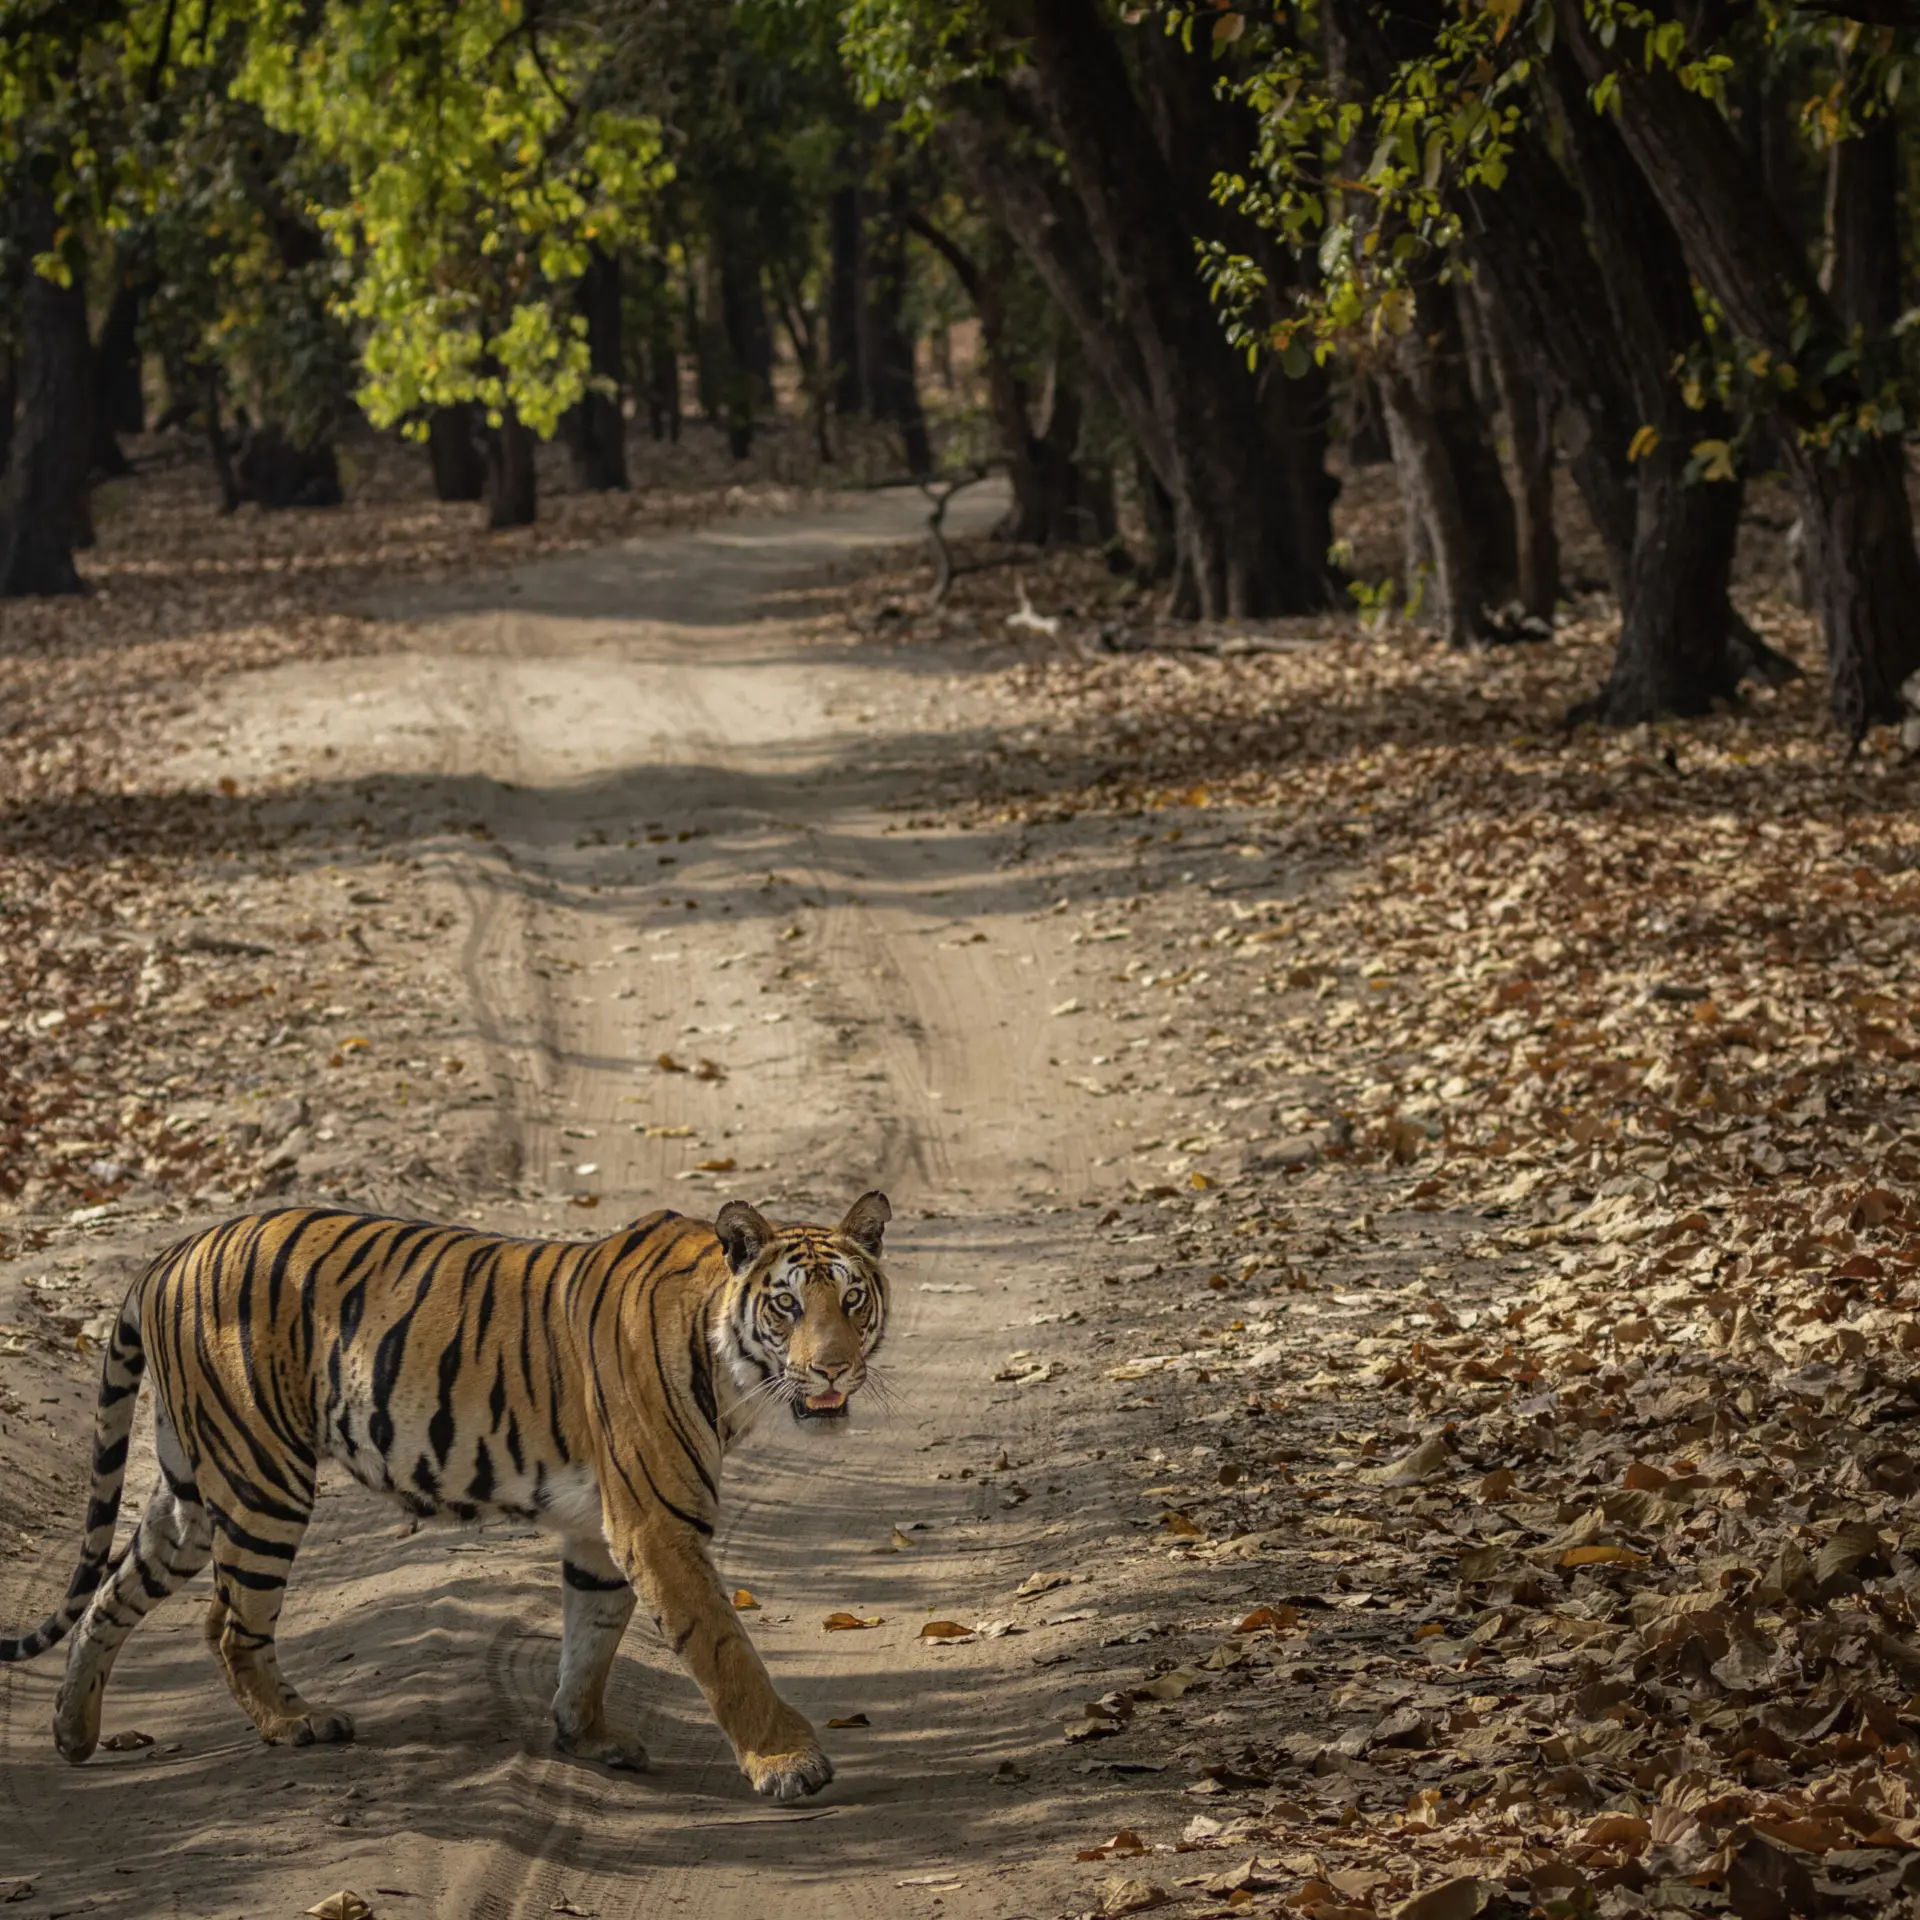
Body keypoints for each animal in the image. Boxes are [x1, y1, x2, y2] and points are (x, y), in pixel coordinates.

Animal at [0, 1191, 891, 1803]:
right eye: (787, 1305)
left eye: (852, 1299)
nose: (835, 1369)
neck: (728, 1365)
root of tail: (170, 1251)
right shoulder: (656, 1524)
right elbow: (722, 1647)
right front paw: (788, 1762)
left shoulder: (602, 1534)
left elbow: (592, 1637)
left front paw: (584, 1734)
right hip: (263, 1478)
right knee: (228, 1624)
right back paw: (296, 1723)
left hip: (191, 1488)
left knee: (111, 1595)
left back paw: (72, 1731)